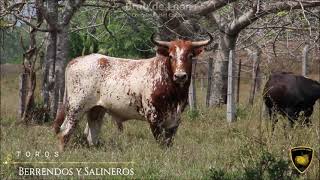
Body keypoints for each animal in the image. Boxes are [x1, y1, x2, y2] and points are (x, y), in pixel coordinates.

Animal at [53, 33, 212, 150]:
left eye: (190, 56)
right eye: (171, 56)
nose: (180, 76)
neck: (175, 93)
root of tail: (75, 61)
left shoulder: (174, 121)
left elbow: (168, 144)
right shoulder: (153, 117)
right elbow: (161, 144)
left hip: (96, 110)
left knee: (91, 136)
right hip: (76, 107)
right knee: (64, 133)